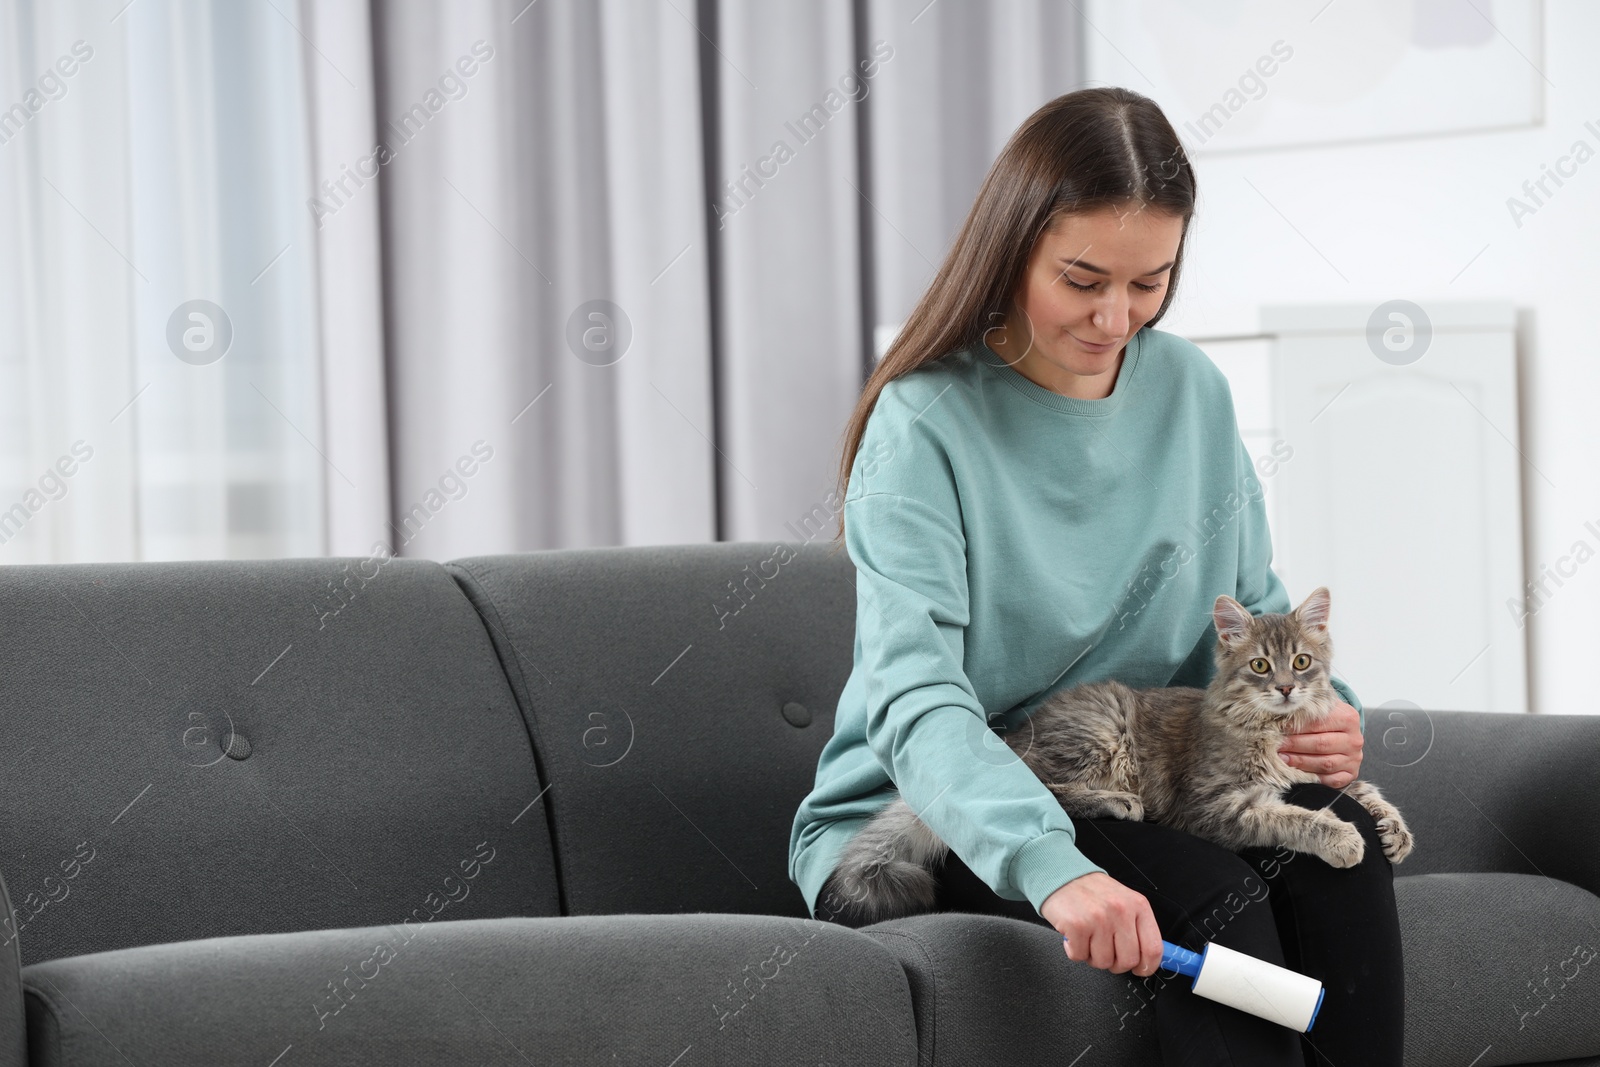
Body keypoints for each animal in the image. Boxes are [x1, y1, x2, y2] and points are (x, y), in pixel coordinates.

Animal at [825, 588, 1414, 921]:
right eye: (1261, 667)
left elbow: (1361, 787)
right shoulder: (1216, 806)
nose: (1288, 688)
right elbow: (1294, 816)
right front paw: (1342, 838)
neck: (1274, 728)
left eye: (1302, 661)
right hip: (1103, 730)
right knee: (1047, 791)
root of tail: (1012, 738)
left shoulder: (1316, 768)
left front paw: (1393, 829)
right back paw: (1116, 802)